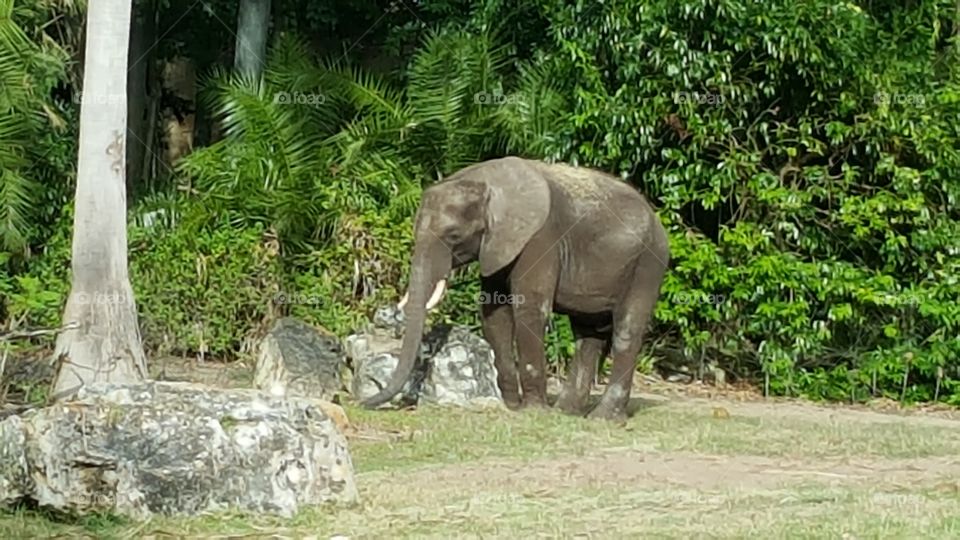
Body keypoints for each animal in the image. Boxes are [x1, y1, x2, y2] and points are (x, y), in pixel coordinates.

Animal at [360, 154, 668, 420]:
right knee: (587, 333)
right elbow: (494, 313)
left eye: (454, 236)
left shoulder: (540, 238)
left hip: (648, 264)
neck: (485, 183)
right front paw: (511, 406)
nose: (361, 403)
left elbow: (530, 309)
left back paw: (602, 419)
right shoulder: (497, 246)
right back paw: (566, 412)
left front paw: (533, 411)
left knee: (626, 330)